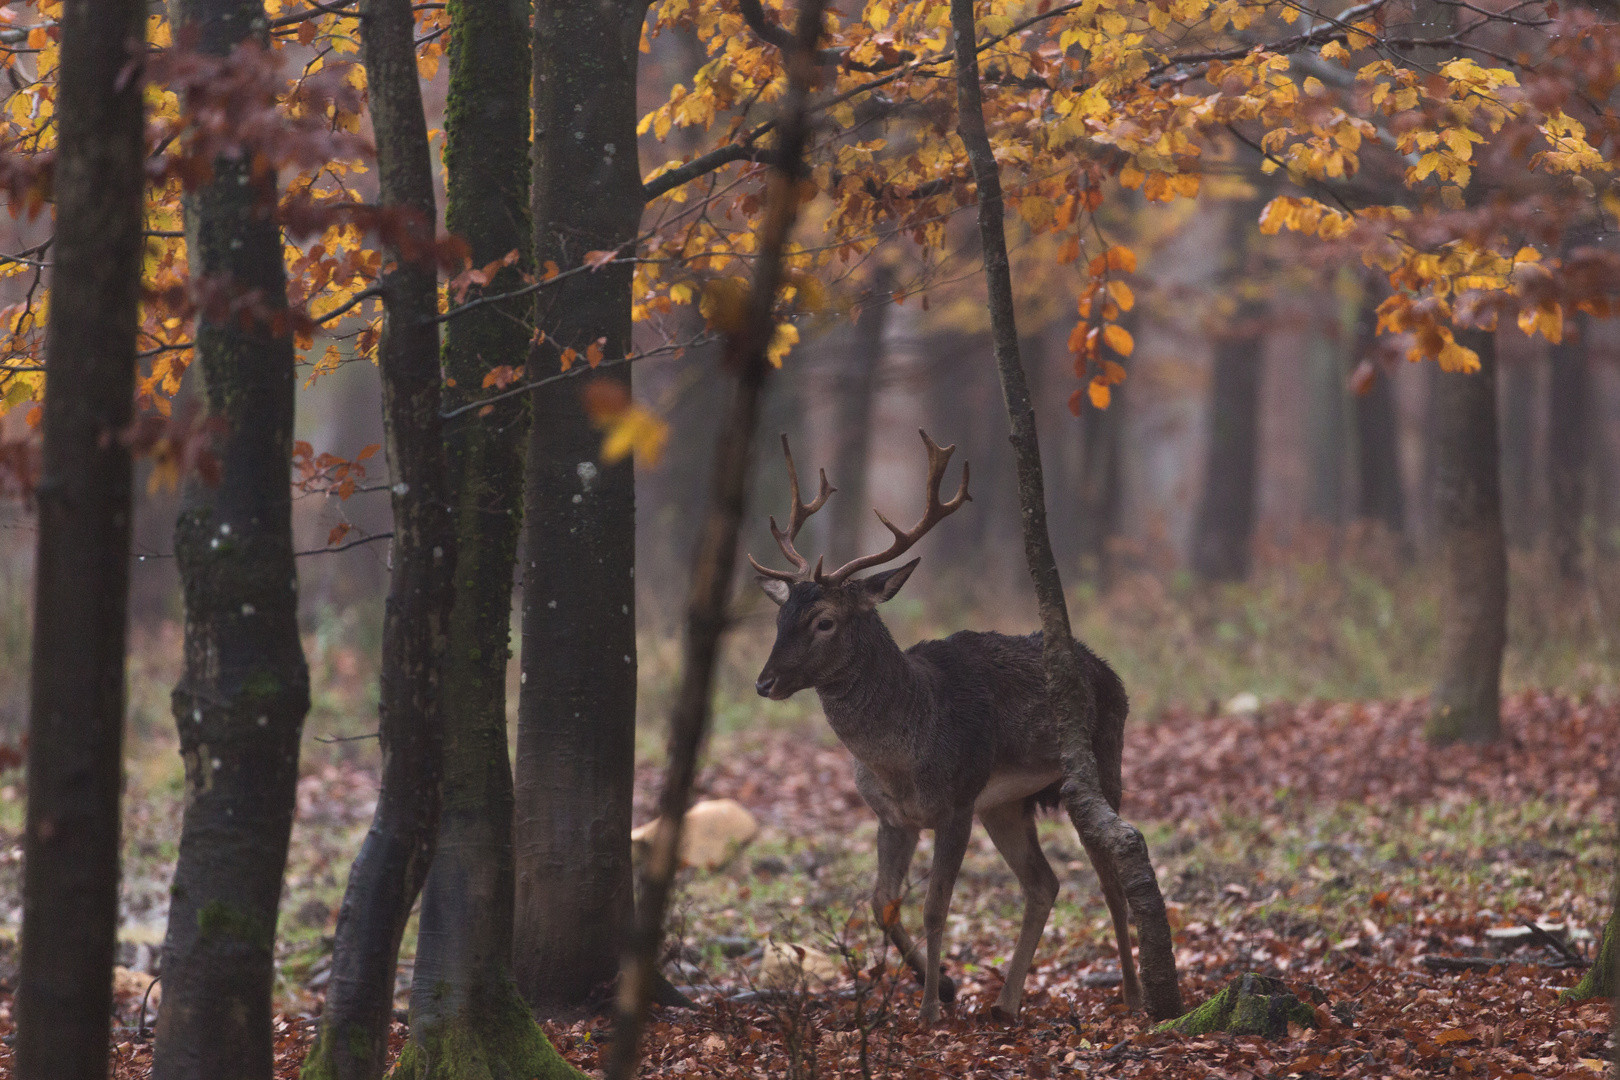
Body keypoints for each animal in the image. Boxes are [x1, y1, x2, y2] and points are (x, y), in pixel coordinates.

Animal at [748, 427, 1140, 1023]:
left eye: (824, 621)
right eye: (779, 617)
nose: (764, 682)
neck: (903, 753)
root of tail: (1108, 671)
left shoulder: (956, 803)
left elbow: (936, 907)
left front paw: (931, 1007)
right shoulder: (893, 817)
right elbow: (881, 902)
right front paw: (950, 988)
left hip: (1100, 763)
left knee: (1110, 876)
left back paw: (1136, 995)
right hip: (1005, 804)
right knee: (1043, 883)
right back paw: (1005, 1003)